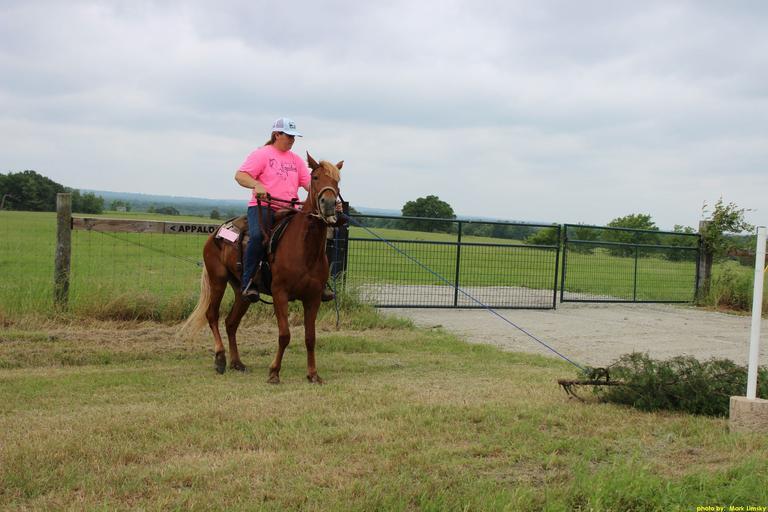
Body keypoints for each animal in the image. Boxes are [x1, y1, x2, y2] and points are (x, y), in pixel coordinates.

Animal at [180, 153, 343, 384]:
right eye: (316, 177)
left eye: (337, 180)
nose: (328, 204)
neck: (304, 249)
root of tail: (216, 233)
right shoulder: (280, 293)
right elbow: (284, 335)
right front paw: (274, 372)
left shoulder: (313, 298)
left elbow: (310, 337)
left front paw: (313, 374)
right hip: (217, 280)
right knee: (212, 315)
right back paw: (220, 359)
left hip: (242, 291)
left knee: (231, 322)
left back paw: (237, 363)